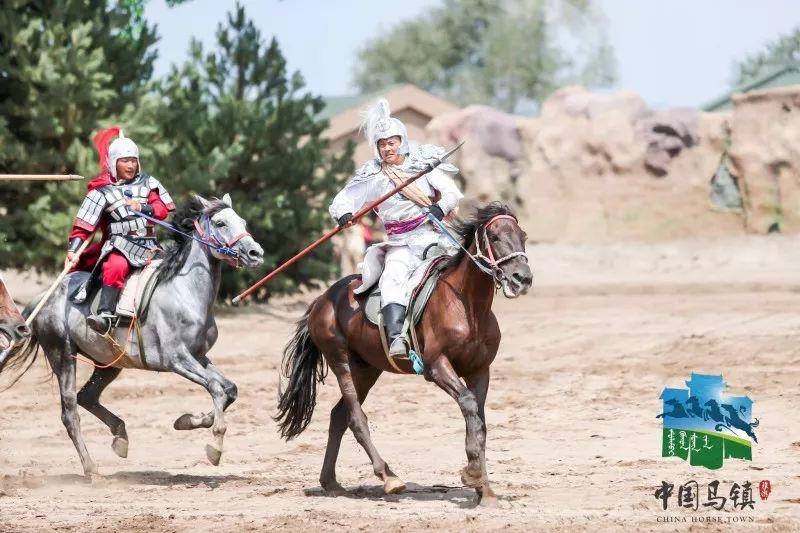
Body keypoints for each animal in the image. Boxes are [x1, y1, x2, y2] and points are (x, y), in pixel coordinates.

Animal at [0, 194, 264, 474]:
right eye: (220, 223)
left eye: (242, 222)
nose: (255, 253)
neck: (184, 292)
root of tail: (42, 299)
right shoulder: (177, 360)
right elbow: (216, 388)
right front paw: (214, 446)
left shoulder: (199, 357)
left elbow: (229, 389)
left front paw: (188, 421)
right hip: (63, 355)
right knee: (70, 411)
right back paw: (91, 469)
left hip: (109, 363)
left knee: (87, 396)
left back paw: (120, 437)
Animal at [276, 202, 532, 504]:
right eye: (494, 237)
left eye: (523, 236)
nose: (522, 278)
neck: (467, 305)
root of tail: (322, 299)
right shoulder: (436, 366)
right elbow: (469, 405)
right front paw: (472, 473)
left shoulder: (479, 370)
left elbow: (479, 422)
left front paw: (484, 489)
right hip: (341, 362)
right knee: (355, 418)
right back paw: (388, 477)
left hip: (366, 369)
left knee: (339, 416)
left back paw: (331, 483)